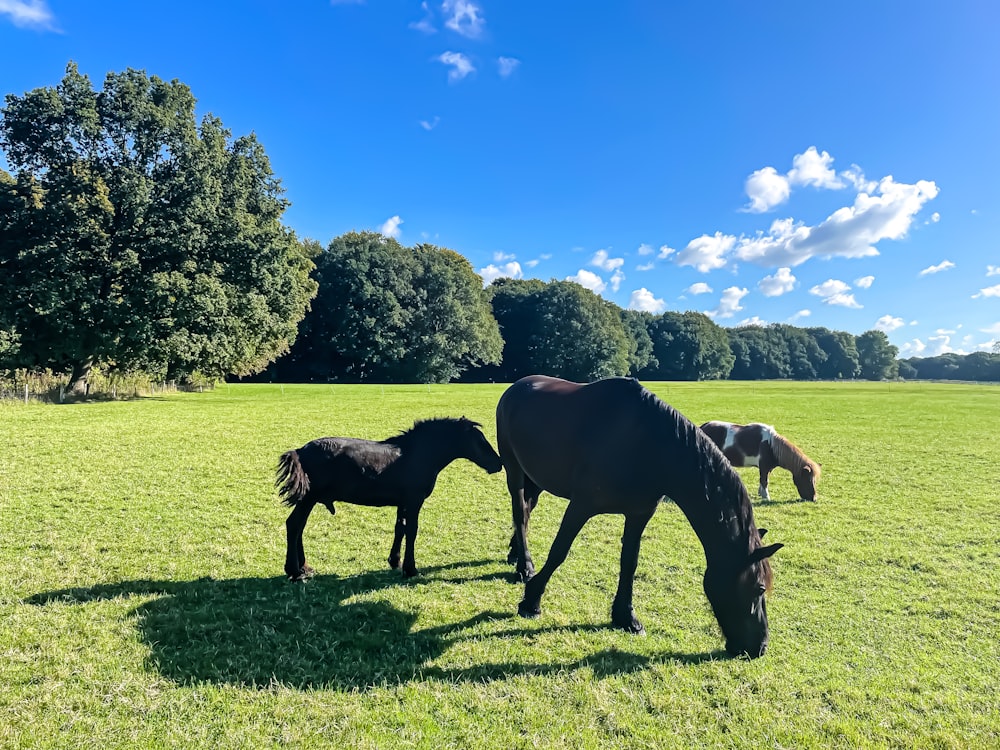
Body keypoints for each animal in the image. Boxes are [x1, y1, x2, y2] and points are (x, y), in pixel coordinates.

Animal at [278, 418, 504, 580]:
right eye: (479, 440)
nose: (498, 463)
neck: (417, 454)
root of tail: (300, 451)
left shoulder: (403, 503)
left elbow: (400, 528)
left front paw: (395, 561)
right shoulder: (414, 501)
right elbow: (411, 531)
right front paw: (410, 569)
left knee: (299, 526)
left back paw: (304, 567)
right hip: (308, 499)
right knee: (294, 525)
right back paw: (295, 571)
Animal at [496, 376, 784, 656]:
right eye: (759, 588)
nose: (760, 647)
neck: (649, 446)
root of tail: (517, 387)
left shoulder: (638, 513)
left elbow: (629, 562)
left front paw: (626, 617)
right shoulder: (581, 506)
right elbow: (559, 551)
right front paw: (531, 601)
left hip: (537, 477)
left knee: (527, 510)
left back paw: (515, 554)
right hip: (514, 469)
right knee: (520, 512)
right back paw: (525, 566)